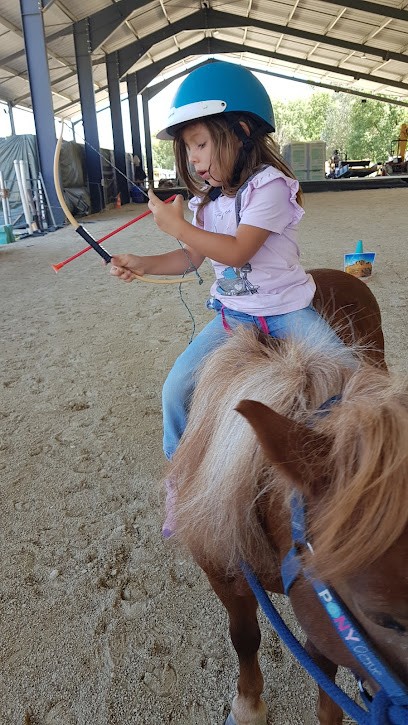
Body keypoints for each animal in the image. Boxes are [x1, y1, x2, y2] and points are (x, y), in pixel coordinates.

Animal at [166, 269, 408, 724]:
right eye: (387, 619)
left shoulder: (319, 612)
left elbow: (327, 683)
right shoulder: (227, 577)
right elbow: (244, 636)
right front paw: (248, 705)